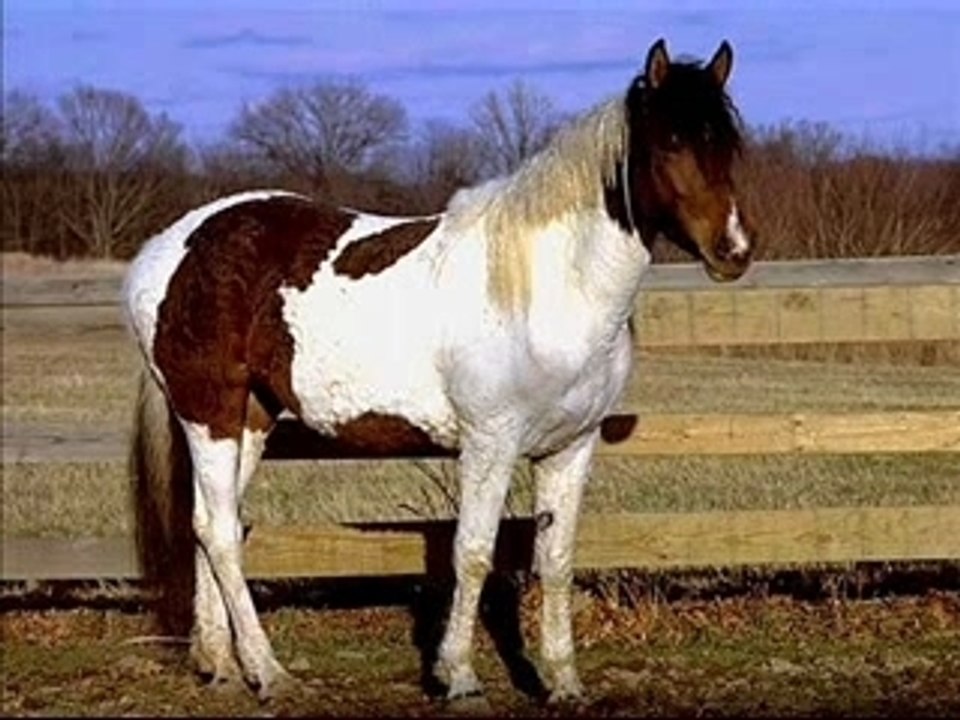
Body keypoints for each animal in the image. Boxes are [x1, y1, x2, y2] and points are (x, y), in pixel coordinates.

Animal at [124, 37, 753, 705]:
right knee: (219, 531)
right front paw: (460, 677)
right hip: (209, 414)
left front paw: (563, 683)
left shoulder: (571, 447)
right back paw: (268, 671)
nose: (734, 251)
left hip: (250, 419)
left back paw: (219, 664)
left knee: (207, 527)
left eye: (728, 143)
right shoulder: (490, 443)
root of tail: (171, 245)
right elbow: (473, 553)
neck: (548, 287)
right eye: (672, 142)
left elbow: (556, 560)